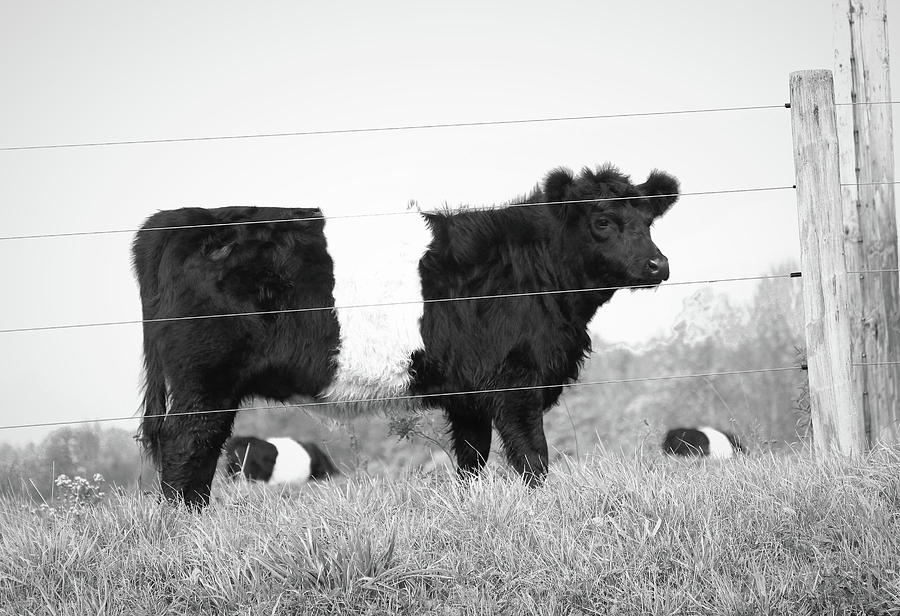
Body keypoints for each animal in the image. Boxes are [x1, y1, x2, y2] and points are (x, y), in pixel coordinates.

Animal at [134, 161, 680, 508]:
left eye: (648, 219)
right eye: (603, 221)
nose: (659, 264)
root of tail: (177, 220)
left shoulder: (469, 393)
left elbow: (472, 459)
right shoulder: (515, 382)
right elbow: (532, 457)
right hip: (205, 383)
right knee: (189, 444)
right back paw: (188, 523)